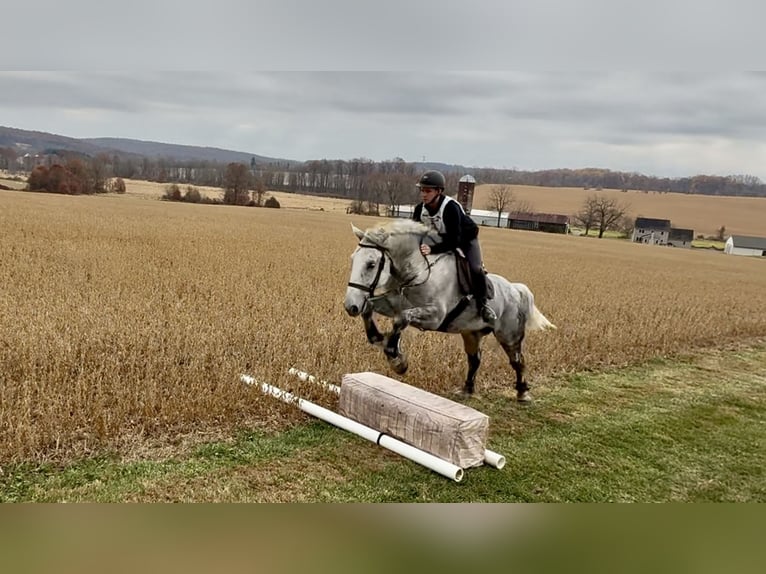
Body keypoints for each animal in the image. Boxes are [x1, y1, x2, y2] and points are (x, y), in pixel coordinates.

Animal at [344, 219, 556, 402]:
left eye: (371, 264)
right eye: (353, 259)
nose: (350, 306)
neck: (418, 271)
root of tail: (516, 289)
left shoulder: (434, 316)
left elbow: (401, 319)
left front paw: (397, 359)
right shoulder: (393, 303)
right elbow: (369, 309)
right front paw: (378, 339)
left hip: (509, 335)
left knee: (517, 360)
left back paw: (523, 393)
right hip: (471, 333)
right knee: (474, 359)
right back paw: (467, 390)